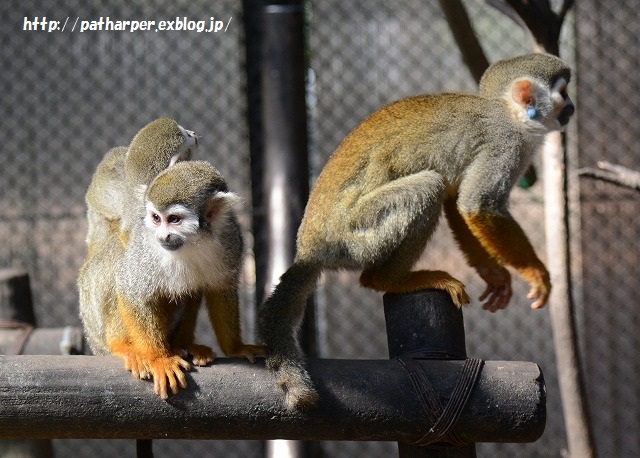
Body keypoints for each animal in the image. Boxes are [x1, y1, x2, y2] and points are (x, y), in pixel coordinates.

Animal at [79, 160, 264, 398]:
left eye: (174, 219)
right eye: (156, 218)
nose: (162, 236)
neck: (195, 241)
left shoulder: (230, 236)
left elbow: (221, 290)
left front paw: (236, 348)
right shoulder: (145, 245)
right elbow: (132, 290)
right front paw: (159, 359)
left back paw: (182, 345)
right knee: (119, 262)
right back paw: (124, 346)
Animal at [258, 52, 576, 408]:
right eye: (563, 93)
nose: (572, 107)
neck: (508, 112)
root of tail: (309, 250)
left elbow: (457, 200)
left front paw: (494, 276)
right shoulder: (505, 144)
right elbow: (477, 205)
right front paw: (536, 273)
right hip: (353, 235)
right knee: (429, 186)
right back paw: (388, 280)